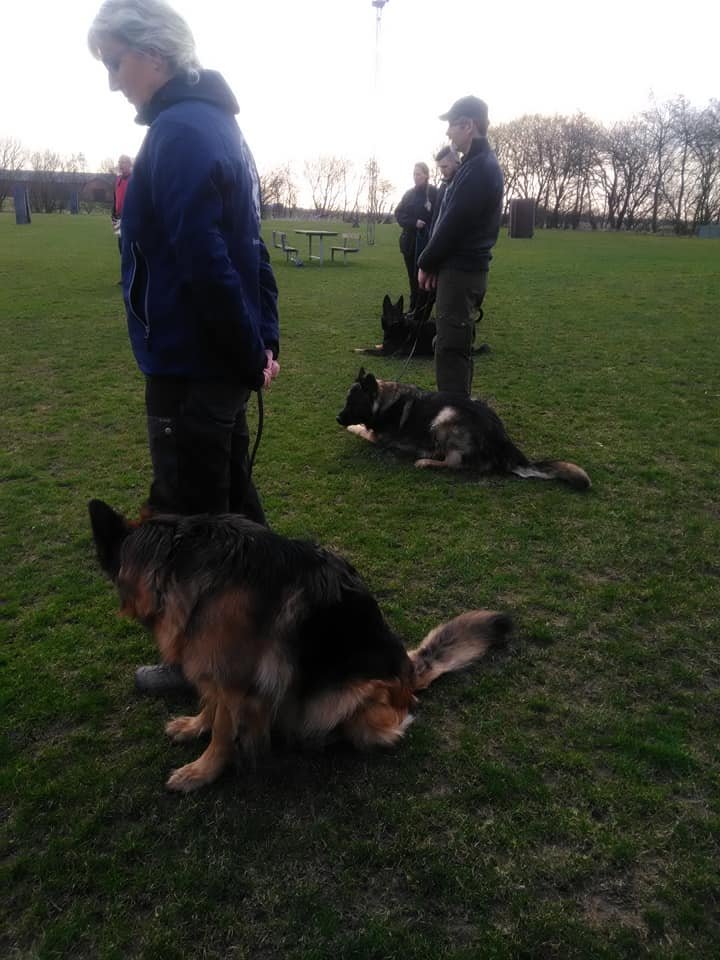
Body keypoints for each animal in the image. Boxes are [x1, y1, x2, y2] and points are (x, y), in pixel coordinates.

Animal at [89, 499, 512, 792]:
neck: (175, 555)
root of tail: (408, 673)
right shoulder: (213, 661)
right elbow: (211, 703)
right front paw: (195, 726)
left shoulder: (237, 677)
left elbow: (224, 730)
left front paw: (202, 771)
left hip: (338, 699)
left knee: (392, 726)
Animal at [337, 369, 591, 490]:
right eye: (346, 402)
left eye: (352, 404)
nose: (337, 418)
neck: (383, 400)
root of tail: (503, 441)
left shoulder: (377, 436)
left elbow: (360, 429)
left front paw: (353, 427)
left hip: (445, 417)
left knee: (454, 463)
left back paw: (425, 461)